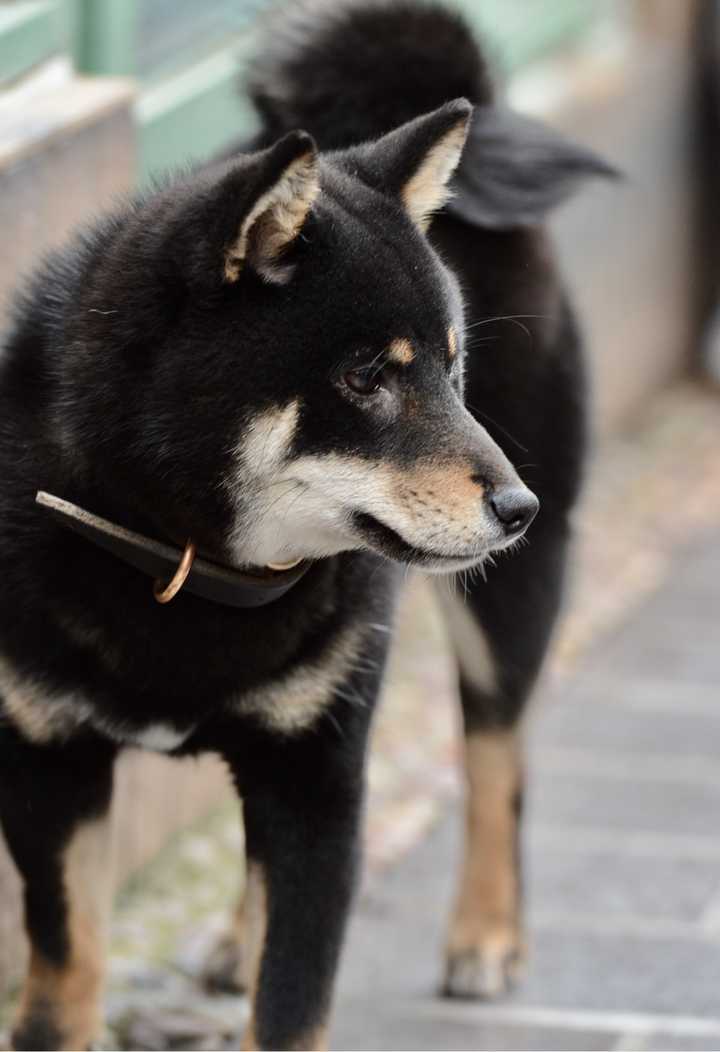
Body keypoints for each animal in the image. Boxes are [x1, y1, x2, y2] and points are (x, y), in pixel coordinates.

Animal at [0, 2, 614, 1052]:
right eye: (366, 375)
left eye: (453, 367)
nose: (517, 507)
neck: (184, 559)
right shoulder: (50, 770)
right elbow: (65, 978)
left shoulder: (321, 777)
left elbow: (290, 1007)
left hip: (506, 611)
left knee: (498, 755)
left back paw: (486, 933)